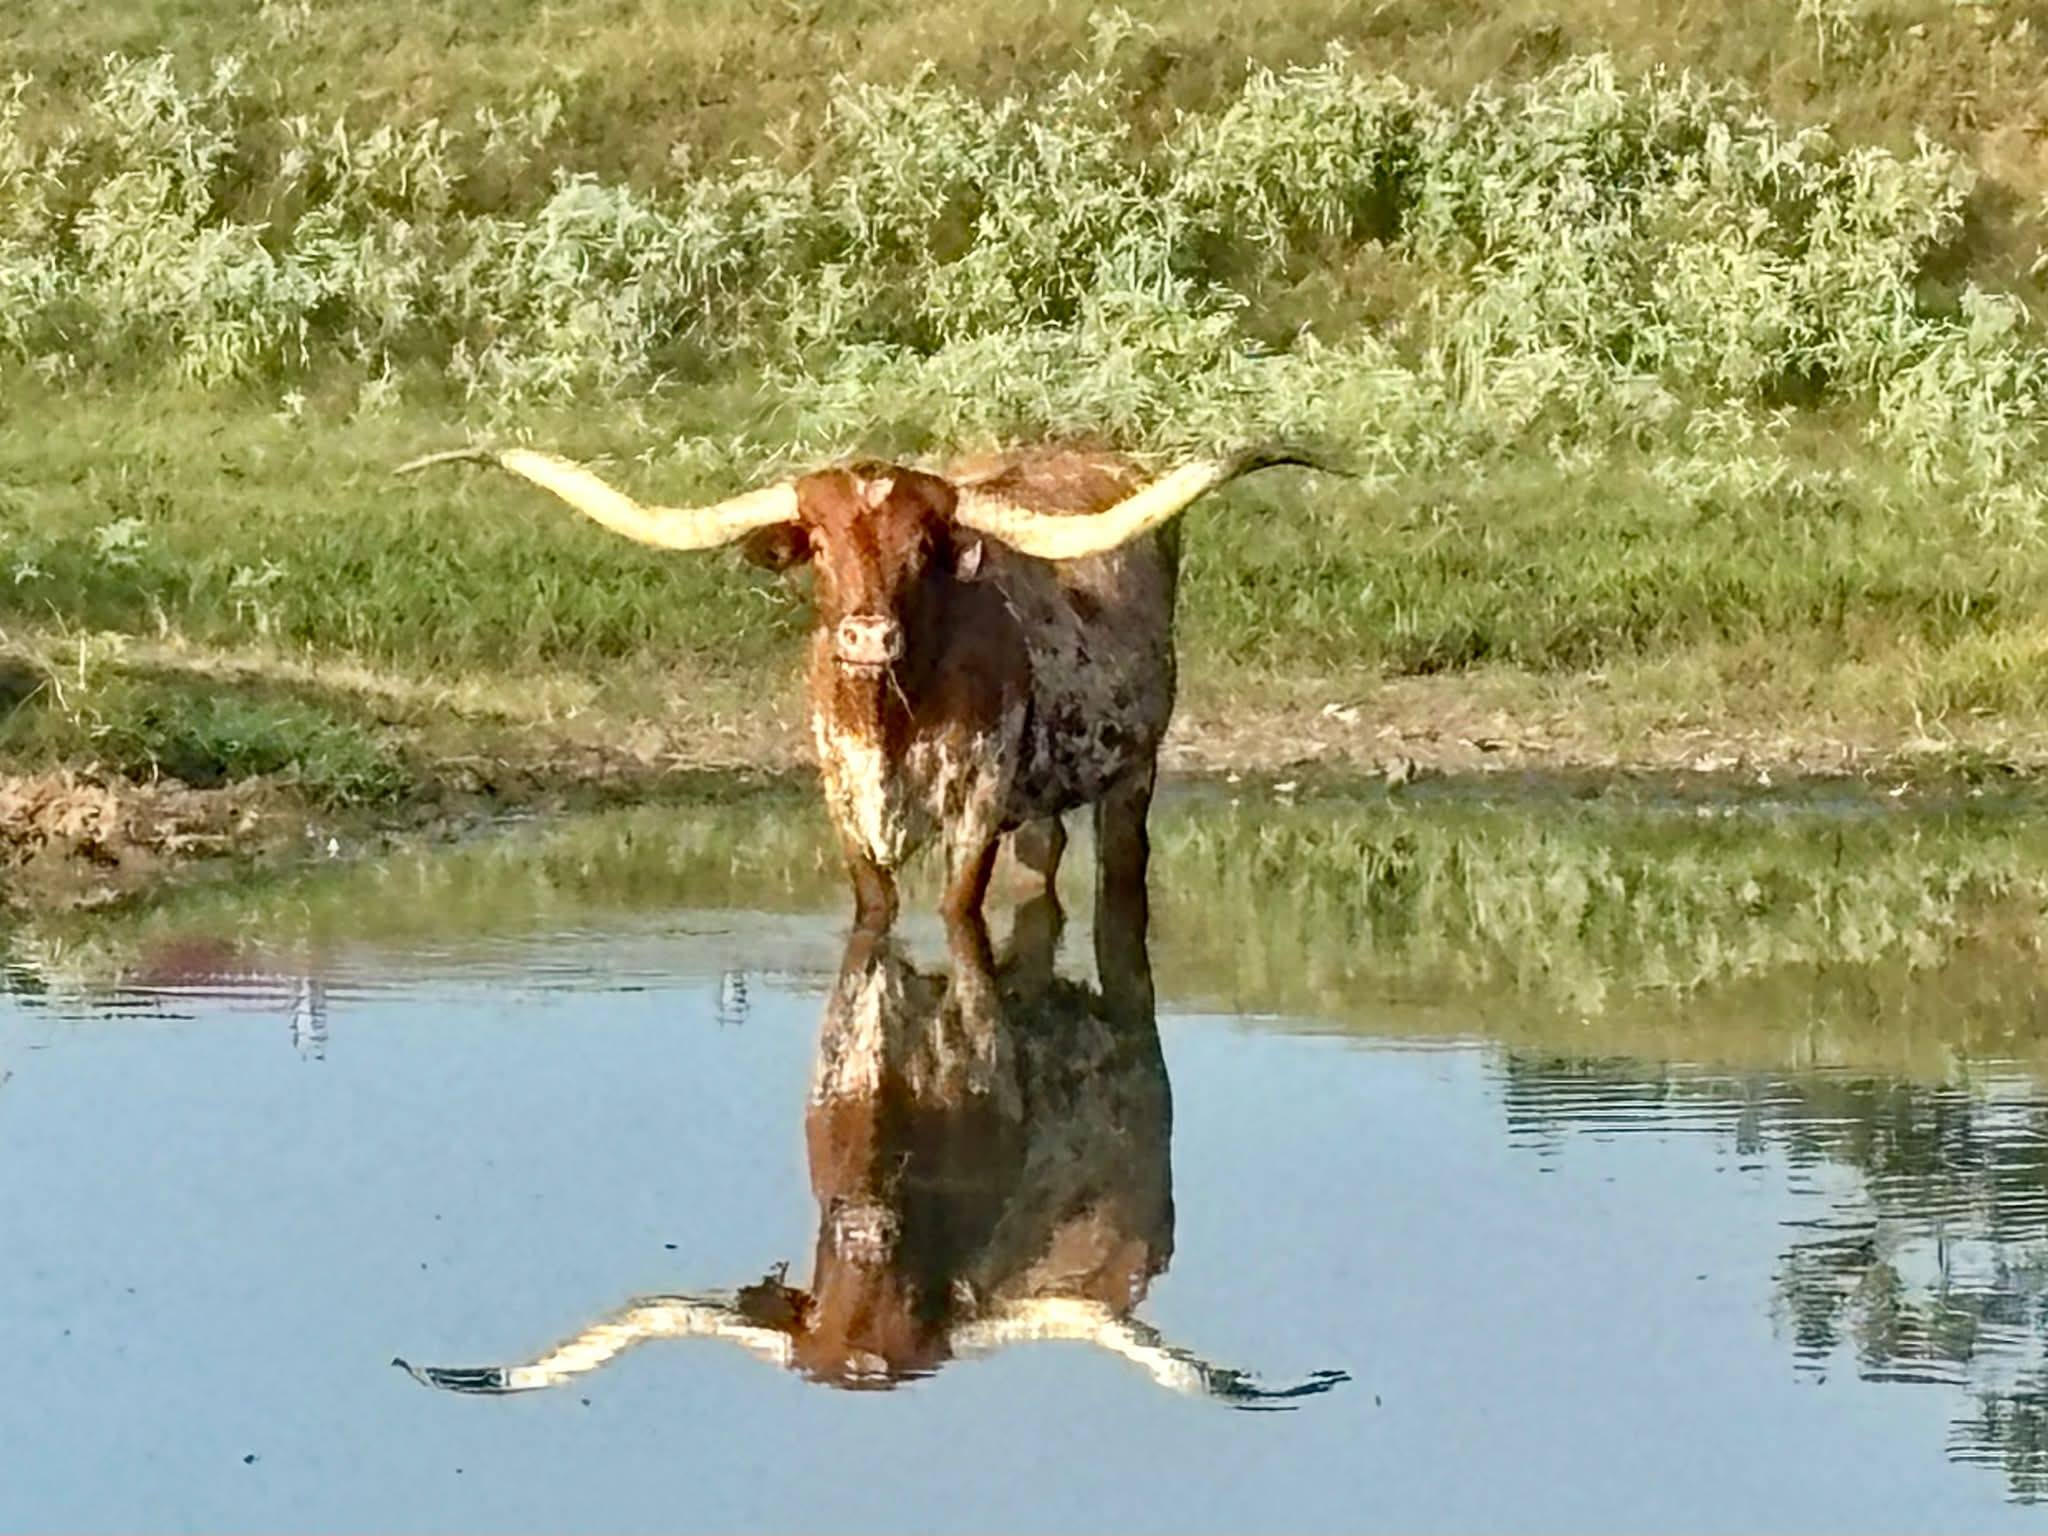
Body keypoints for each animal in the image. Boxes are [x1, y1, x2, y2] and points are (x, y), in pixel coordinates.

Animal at [396, 442, 1334, 932]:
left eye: (923, 545)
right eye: (817, 542)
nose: (866, 635)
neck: (890, 719)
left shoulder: (975, 809)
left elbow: (959, 914)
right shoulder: (843, 806)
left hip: (1133, 773)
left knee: (1121, 867)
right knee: (1044, 860)